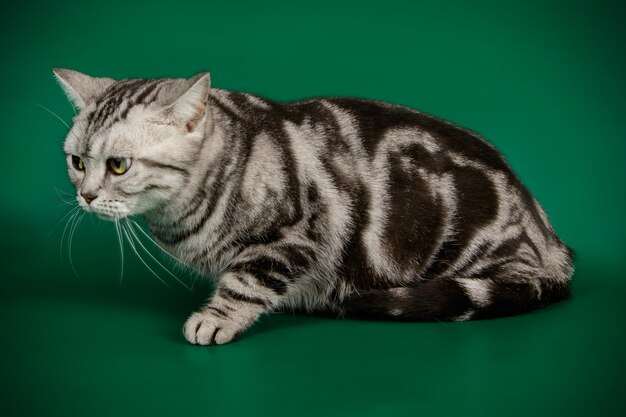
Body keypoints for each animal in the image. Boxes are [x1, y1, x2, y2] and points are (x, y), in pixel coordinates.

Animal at [53, 68, 572, 344]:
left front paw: (215, 319)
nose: (86, 195)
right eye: (77, 162)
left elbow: (245, 283)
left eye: (118, 165)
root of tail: (550, 238)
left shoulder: (298, 234)